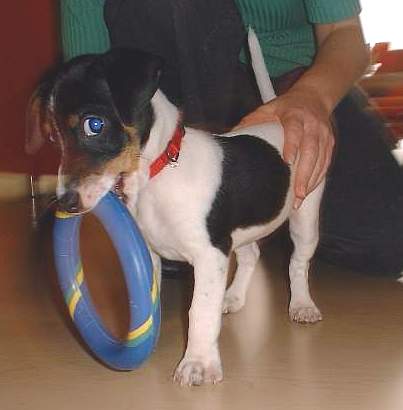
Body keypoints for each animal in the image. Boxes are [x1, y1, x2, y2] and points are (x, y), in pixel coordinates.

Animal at [26, 31, 324, 386]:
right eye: (53, 138)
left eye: (94, 125)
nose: (66, 202)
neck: (159, 174)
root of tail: (278, 123)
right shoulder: (155, 253)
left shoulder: (210, 255)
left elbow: (199, 311)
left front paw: (198, 363)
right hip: (242, 226)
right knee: (251, 255)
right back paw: (233, 297)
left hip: (305, 216)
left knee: (297, 263)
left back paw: (302, 304)